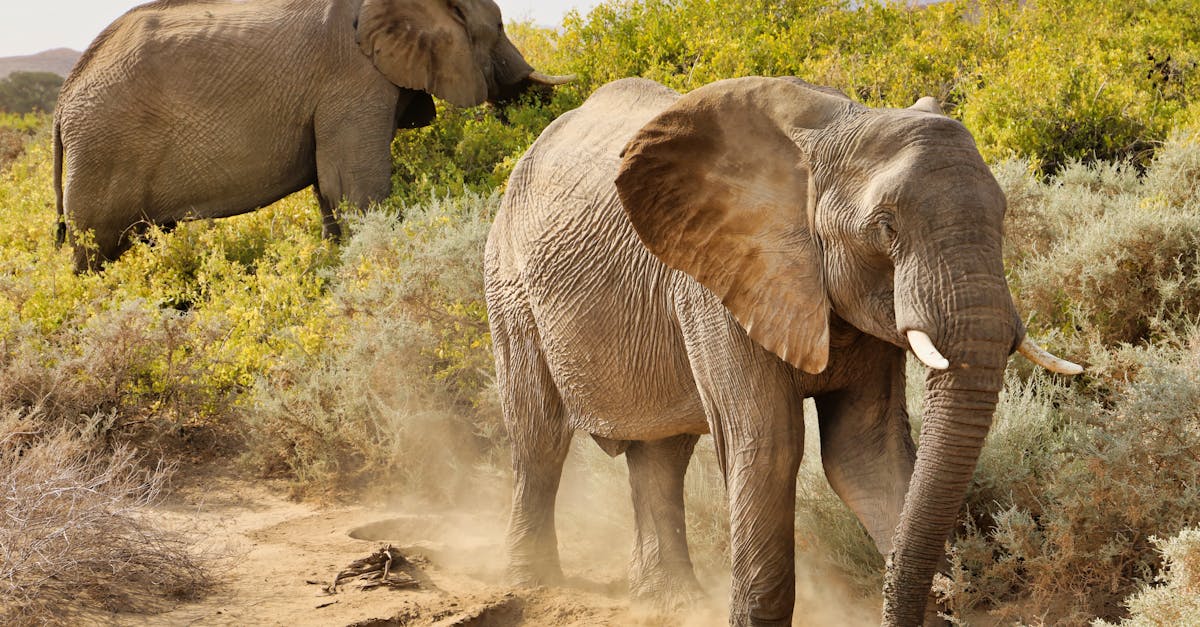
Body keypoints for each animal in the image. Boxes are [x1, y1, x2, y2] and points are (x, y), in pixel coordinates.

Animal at [52, 0, 570, 271]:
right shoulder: (352, 80)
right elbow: (355, 189)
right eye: (498, 26)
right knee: (97, 251)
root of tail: (62, 101)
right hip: (104, 150)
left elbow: (330, 188)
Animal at [483, 77, 1082, 626]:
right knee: (538, 434)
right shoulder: (714, 282)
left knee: (662, 453)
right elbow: (769, 443)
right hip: (508, 283)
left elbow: (865, 451)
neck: (834, 132)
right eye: (886, 227)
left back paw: (670, 602)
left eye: (1002, 214)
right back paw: (534, 583)